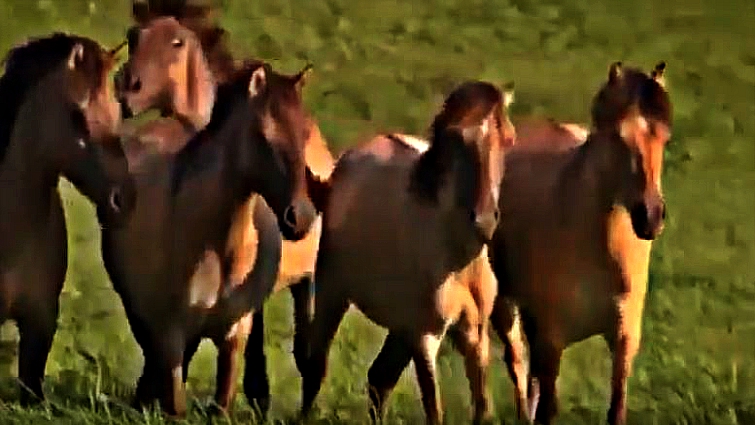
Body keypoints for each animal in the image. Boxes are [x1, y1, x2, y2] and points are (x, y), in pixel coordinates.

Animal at [116, 14, 337, 415]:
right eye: (133, 36)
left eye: (177, 43)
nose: (301, 216)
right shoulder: (170, 328)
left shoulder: (236, 327)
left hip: (307, 281)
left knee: (307, 353)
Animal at [299, 80, 516, 425]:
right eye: (455, 139)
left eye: (508, 140)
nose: (484, 222)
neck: (456, 260)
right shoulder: (425, 337)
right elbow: (433, 409)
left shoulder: (474, 335)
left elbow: (483, 408)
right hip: (334, 293)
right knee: (317, 368)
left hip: (400, 327)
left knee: (379, 379)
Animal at [488, 61, 672, 425]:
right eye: (617, 136)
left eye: (664, 136)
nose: (651, 215)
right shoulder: (552, 337)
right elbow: (546, 406)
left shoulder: (624, 337)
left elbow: (616, 409)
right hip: (505, 306)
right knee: (517, 363)